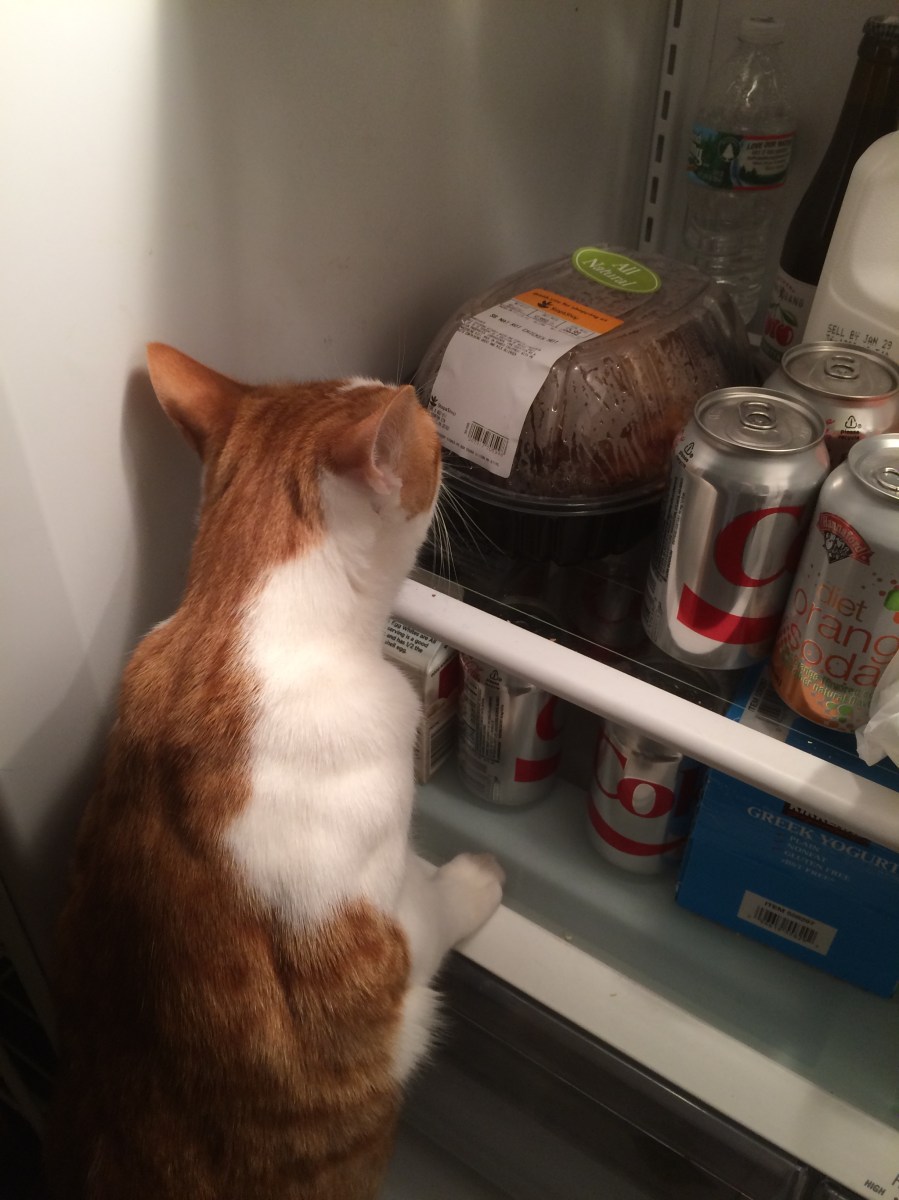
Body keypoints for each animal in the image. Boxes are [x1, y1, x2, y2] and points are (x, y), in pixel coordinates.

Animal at [45, 344, 505, 1200]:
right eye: (428, 429)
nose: (436, 422)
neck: (230, 629)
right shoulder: (381, 969)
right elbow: (432, 908)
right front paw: (471, 877)